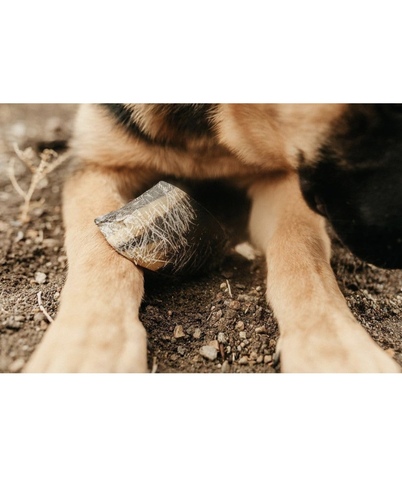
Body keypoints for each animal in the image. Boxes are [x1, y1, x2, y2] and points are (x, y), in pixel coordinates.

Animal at [24, 104, 402, 373]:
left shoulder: (282, 177)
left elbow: (302, 253)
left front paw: (335, 347)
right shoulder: (97, 166)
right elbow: (99, 254)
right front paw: (88, 346)